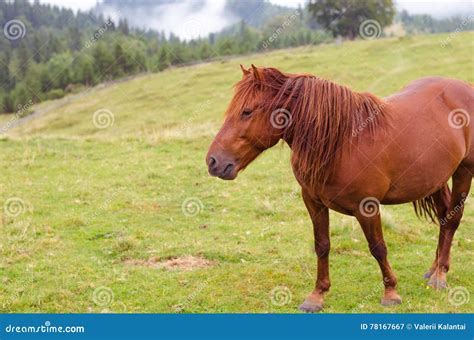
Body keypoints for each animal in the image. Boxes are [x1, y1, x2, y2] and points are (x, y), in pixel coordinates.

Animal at [206, 65, 472, 312]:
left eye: (247, 111)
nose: (213, 162)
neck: (342, 142)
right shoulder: (313, 202)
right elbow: (322, 246)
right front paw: (317, 295)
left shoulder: (367, 207)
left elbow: (378, 248)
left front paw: (391, 293)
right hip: (435, 179)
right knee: (444, 216)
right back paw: (433, 269)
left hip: (464, 171)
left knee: (453, 218)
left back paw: (440, 276)